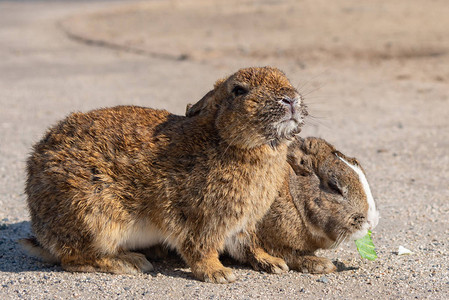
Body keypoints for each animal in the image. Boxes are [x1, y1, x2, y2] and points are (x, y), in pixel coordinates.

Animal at [21, 67, 308, 282]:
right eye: (239, 90)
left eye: (286, 79)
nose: (290, 99)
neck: (225, 139)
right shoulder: (201, 219)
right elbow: (200, 249)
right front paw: (218, 274)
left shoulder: (242, 224)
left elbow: (248, 245)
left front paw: (273, 262)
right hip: (94, 219)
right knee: (73, 259)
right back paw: (130, 262)